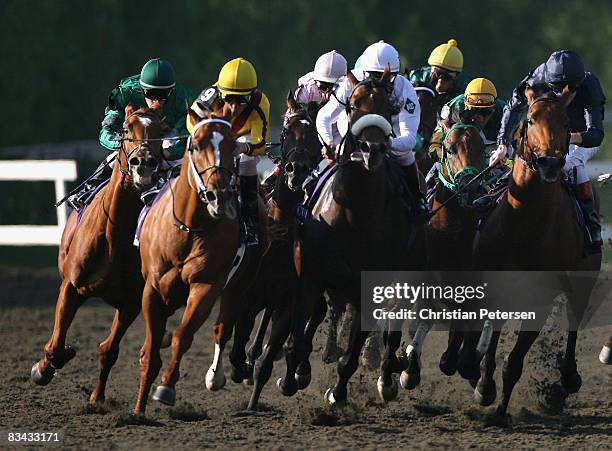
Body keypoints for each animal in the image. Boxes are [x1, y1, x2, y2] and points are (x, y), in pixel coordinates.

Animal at [30, 107, 165, 406]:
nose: (144, 163)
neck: (113, 238)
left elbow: (108, 350)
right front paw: (43, 369)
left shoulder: (130, 302)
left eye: (162, 131)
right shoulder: (71, 287)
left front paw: (96, 397)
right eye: (126, 128)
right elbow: (55, 346)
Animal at [274, 69, 428, 406]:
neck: (357, 212)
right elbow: (297, 337)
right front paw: (292, 377)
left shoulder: (369, 284)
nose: (371, 149)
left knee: (391, 327)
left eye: (390, 108)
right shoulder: (309, 274)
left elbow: (352, 353)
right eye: (353, 106)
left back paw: (388, 375)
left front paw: (338, 391)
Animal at [470, 91, 600, 416]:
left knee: (575, 318)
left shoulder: (541, 297)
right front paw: (484, 386)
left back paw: (568, 377)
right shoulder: (494, 286)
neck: (525, 223)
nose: (550, 163)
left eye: (566, 121)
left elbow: (514, 362)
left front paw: (500, 411)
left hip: (584, 279)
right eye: (530, 119)